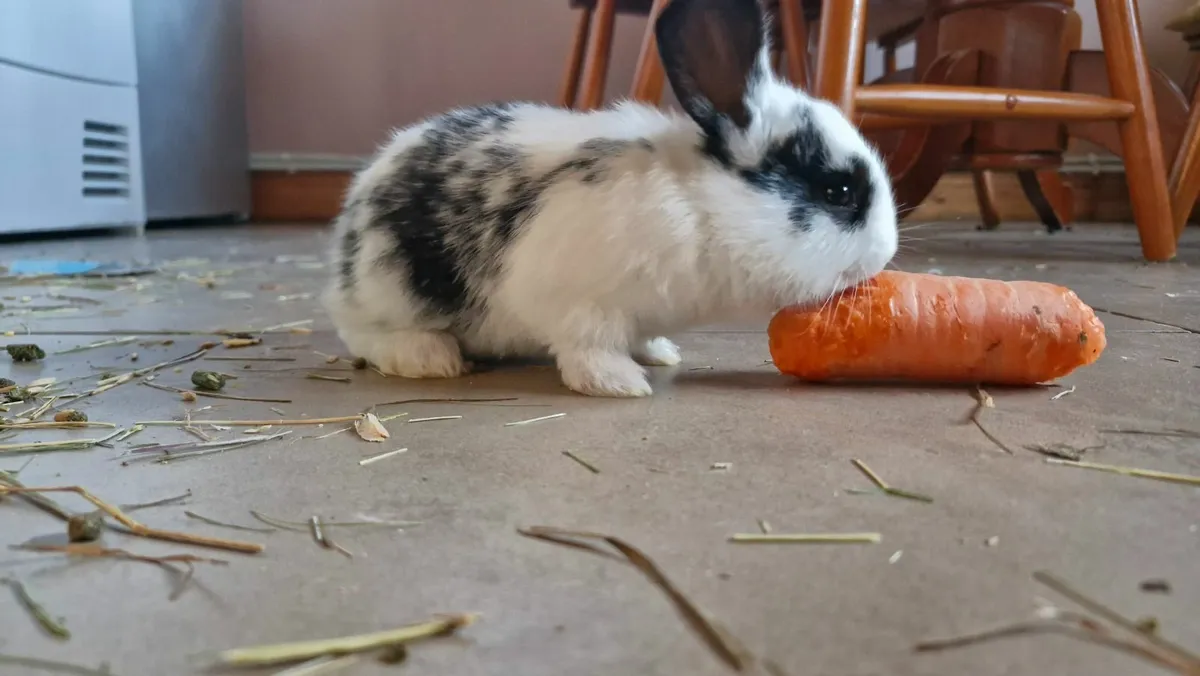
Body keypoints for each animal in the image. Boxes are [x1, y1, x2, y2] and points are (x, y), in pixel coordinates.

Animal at [320, 0, 898, 398]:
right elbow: (589, 347)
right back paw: (430, 358)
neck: (702, 209)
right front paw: (621, 383)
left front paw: (661, 354)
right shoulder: (578, 303)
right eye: (839, 191)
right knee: (363, 334)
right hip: (390, 291)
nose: (885, 253)